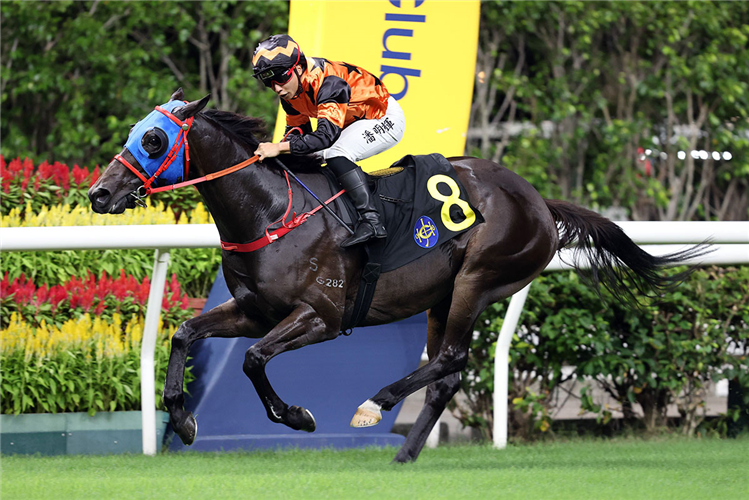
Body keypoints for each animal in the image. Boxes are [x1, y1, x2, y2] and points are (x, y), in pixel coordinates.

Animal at [87, 89, 700, 460]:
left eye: (153, 140)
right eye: (135, 133)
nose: (100, 194)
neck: (271, 211)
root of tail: (539, 203)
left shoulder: (320, 316)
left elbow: (254, 359)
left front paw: (298, 416)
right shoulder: (254, 310)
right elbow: (185, 334)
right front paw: (183, 419)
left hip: (478, 279)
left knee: (450, 359)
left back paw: (375, 404)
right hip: (442, 296)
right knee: (447, 372)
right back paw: (405, 453)